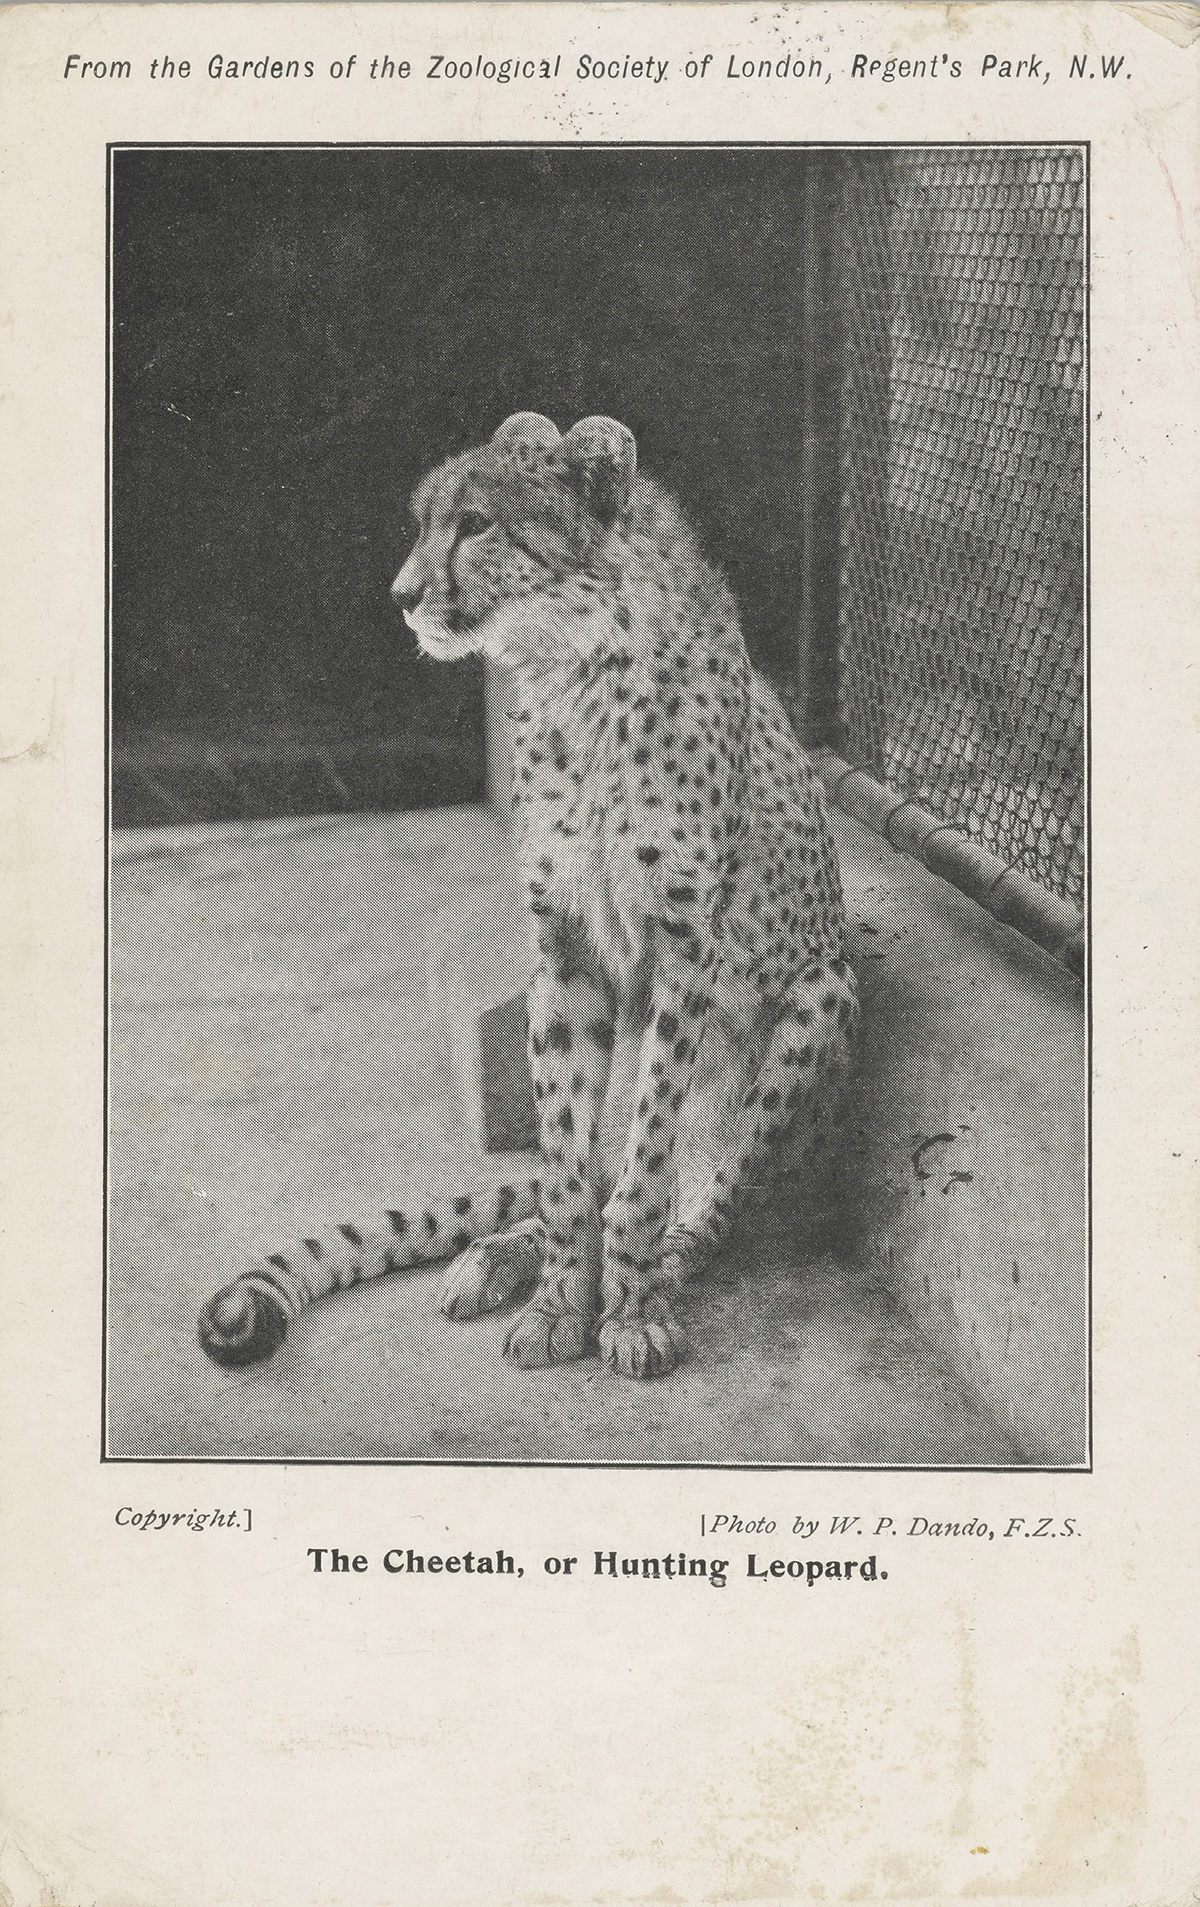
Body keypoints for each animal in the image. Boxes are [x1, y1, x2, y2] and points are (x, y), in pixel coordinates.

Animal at [199, 410, 850, 1380]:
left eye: (476, 524)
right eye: (424, 522)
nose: (401, 595)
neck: (577, 669)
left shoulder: (684, 945)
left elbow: (646, 1160)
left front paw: (628, 1308)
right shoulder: (564, 942)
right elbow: (565, 1158)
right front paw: (557, 1301)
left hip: (822, 995)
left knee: (713, 1191)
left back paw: (661, 1265)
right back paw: (495, 1258)